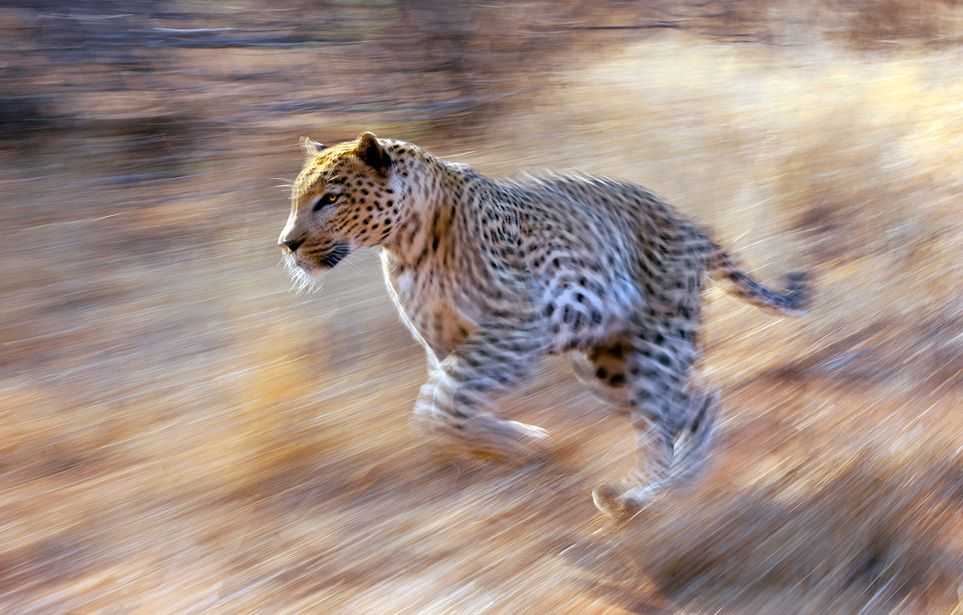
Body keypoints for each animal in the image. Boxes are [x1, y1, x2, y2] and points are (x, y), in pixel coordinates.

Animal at [278, 131, 812, 520]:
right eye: (298, 199)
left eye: (329, 198)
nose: (287, 244)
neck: (405, 245)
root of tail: (689, 223)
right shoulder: (443, 342)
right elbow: (449, 405)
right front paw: (517, 443)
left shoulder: (515, 328)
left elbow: (442, 407)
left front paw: (515, 443)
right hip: (608, 364)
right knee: (691, 403)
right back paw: (671, 489)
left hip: (655, 344)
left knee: (680, 412)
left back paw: (642, 496)